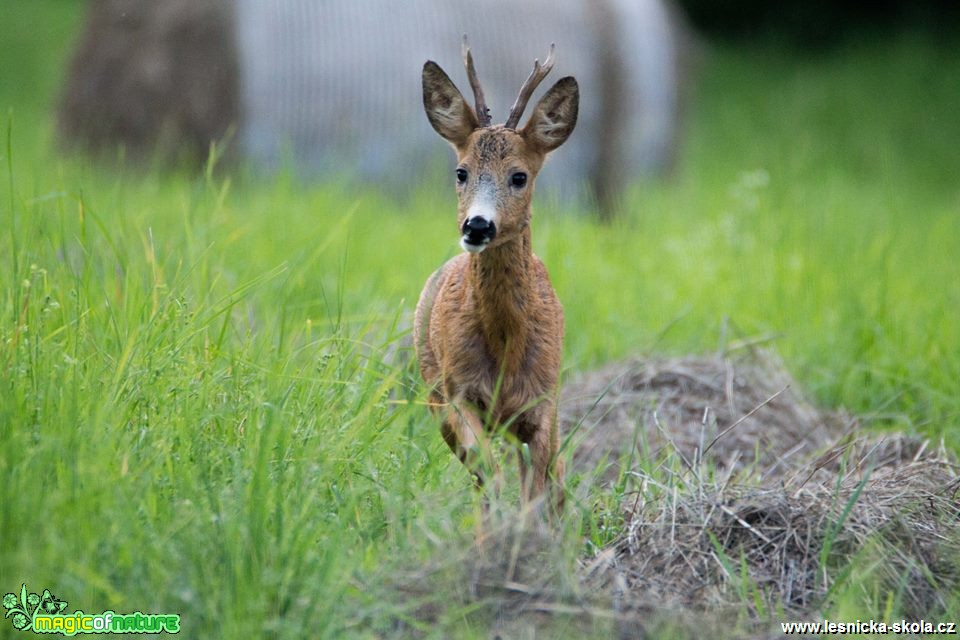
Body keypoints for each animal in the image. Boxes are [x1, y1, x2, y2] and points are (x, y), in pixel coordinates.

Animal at [412, 38, 576, 510]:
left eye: (519, 176)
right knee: (485, 477)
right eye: (461, 171)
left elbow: (538, 487)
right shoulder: (459, 394)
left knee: (555, 473)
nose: (477, 226)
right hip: (434, 393)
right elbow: (490, 474)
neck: (506, 347)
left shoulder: (543, 402)